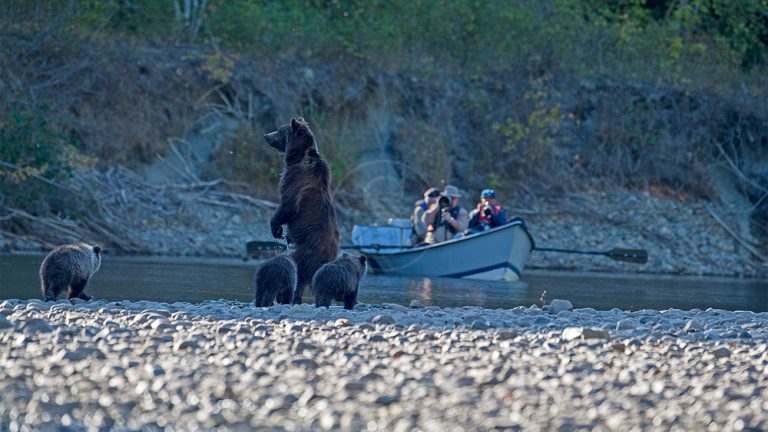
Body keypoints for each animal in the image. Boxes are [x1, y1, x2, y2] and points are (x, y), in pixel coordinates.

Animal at [264, 118, 340, 304]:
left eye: (279, 130)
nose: (266, 136)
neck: (298, 157)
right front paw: (285, 235)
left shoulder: (295, 180)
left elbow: (288, 205)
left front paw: (276, 227)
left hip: (309, 249)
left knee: (298, 270)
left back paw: (288, 296)